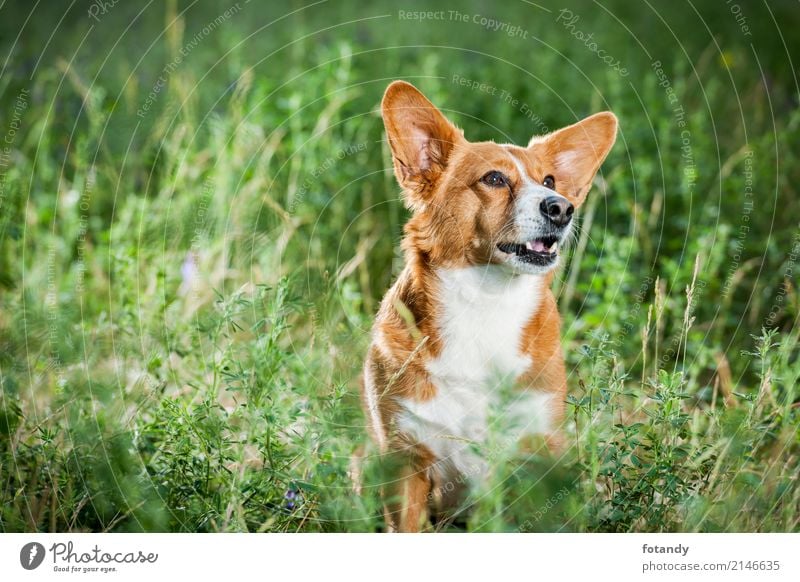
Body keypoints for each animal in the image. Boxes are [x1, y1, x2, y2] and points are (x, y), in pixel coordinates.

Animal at [362, 80, 620, 532]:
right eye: (495, 178)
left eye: (550, 180)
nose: (562, 207)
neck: (486, 301)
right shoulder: (405, 460)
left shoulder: (535, 457)